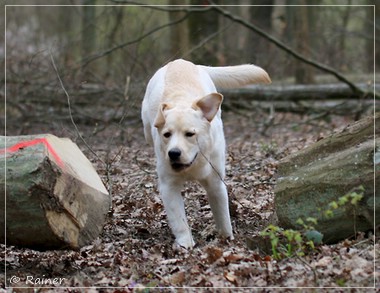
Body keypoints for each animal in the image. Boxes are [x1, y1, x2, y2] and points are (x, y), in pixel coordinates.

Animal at [142, 58, 270, 248]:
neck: (194, 164)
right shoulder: (169, 186)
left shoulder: (215, 182)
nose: (173, 153)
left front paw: (226, 239)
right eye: (167, 135)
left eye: (190, 134)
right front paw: (185, 244)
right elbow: (179, 220)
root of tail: (180, 61)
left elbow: (222, 215)